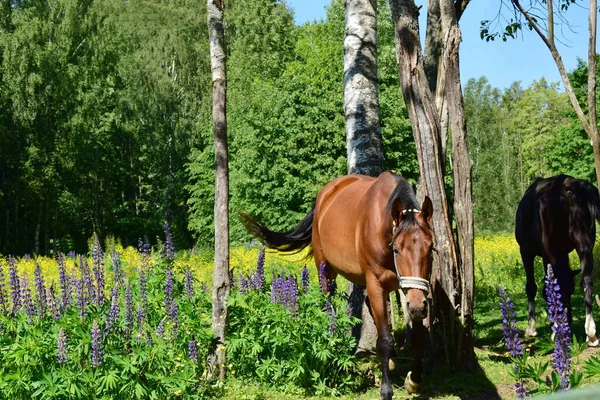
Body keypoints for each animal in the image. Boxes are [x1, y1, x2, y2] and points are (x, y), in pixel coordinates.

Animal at [241, 170, 434, 398]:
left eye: (430, 248)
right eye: (397, 249)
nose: (418, 306)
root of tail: (324, 195)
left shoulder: (412, 289)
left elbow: (418, 337)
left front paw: (414, 380)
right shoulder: (376, 283)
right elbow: (385, 340)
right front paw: (386, 390)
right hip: (326, 270)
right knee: (328, 305)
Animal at [516, 175, 600, 346]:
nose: (567, 321)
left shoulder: (526, 251)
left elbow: (531, 287)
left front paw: (531, 328)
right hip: (584, 242)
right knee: (586, 282)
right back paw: (591, 333)